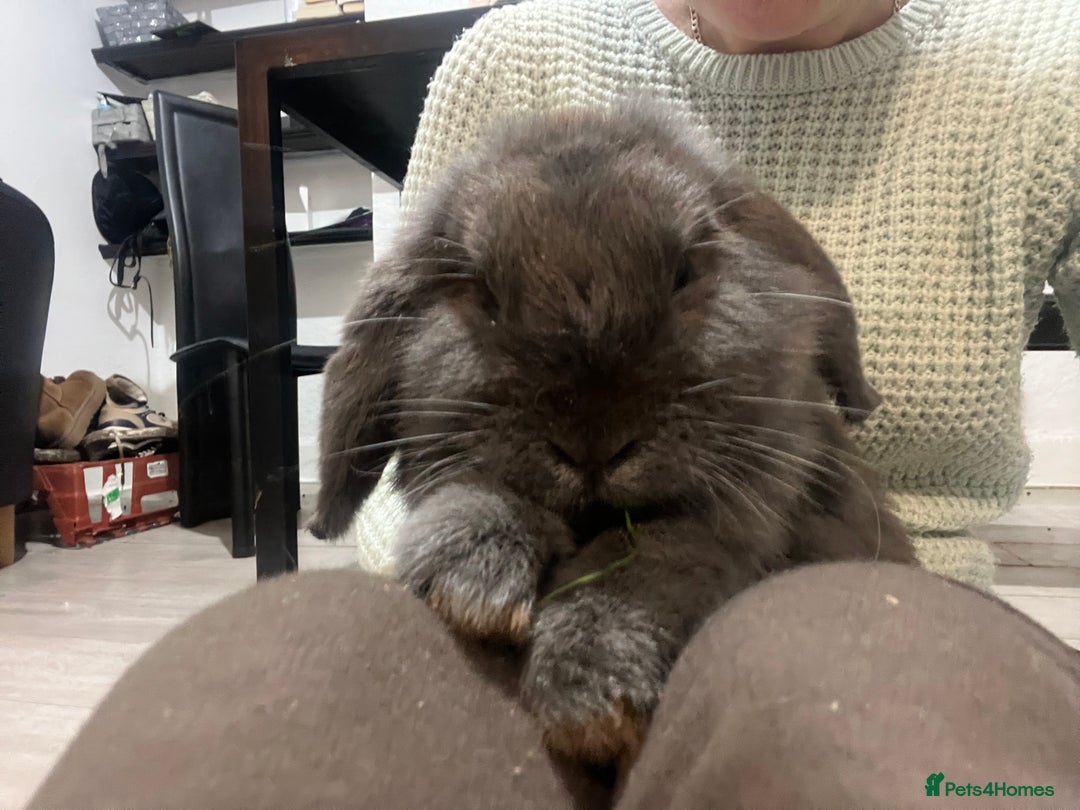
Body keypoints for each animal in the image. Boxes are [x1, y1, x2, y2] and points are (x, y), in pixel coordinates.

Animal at [309, 102, 917, 767]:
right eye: (481, 292)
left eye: (685, 272)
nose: (594, 446)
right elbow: (481, 496)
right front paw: (472, 583)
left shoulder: (735, 514)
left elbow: (648, 556)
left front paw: (591, 697)